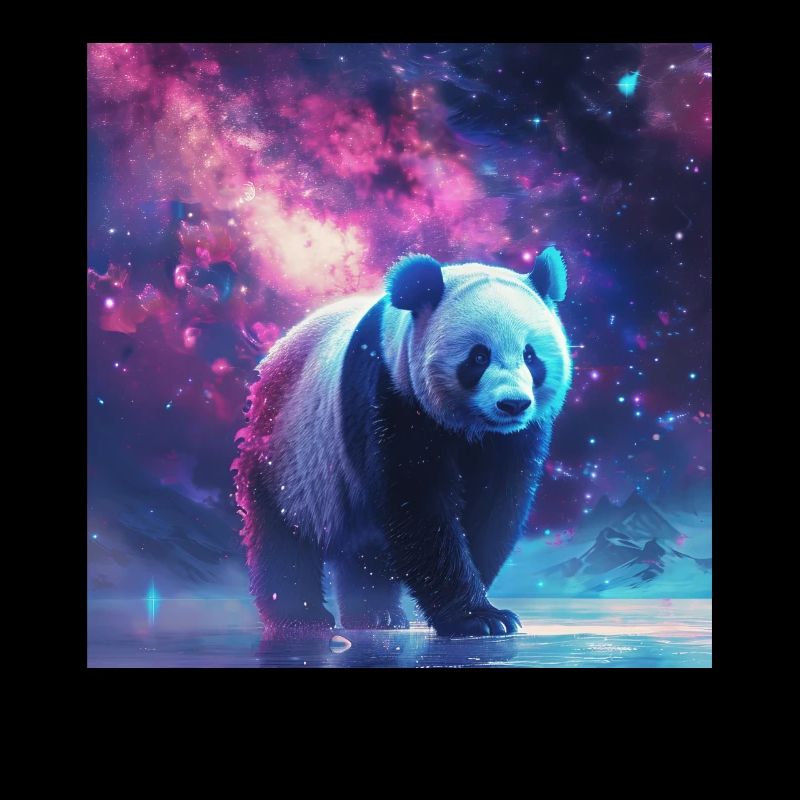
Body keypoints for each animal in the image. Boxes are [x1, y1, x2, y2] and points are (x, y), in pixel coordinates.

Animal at [232, 247, 572, 637]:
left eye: (531, 356)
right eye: (478, 357)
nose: (513, 404)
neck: (471, 426)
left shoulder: (513, 440)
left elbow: (495, 506)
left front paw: (481, 603)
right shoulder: (392, 399)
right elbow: (419, 506)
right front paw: (479, 618)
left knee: (364, 554)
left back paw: (375, 614)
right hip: (285, 451)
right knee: (284, 536)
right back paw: (301, 616)